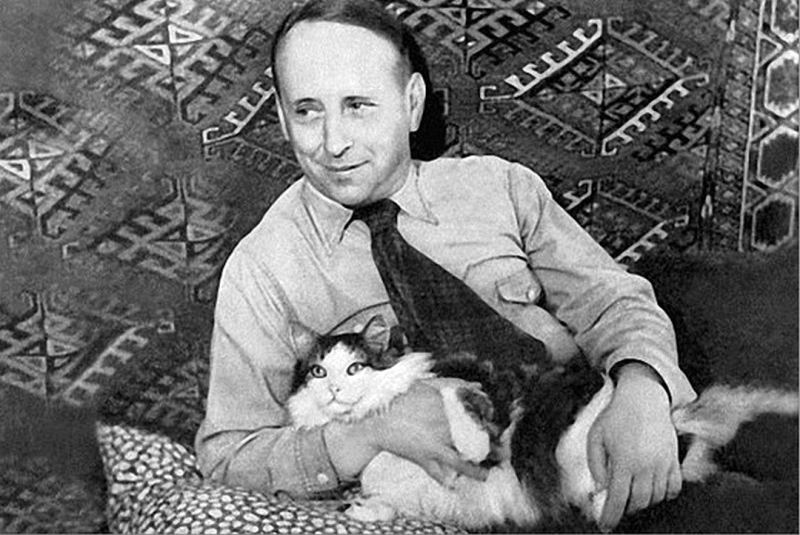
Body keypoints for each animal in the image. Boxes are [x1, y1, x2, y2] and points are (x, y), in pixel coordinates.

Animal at [287, 315, 799, 530]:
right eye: (318, 372)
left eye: (355, 368)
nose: (334, 391)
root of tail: (676, 418)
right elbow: (385, 502)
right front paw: (362, 509)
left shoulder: (472, 379)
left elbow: (457, 402)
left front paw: (472, 447)